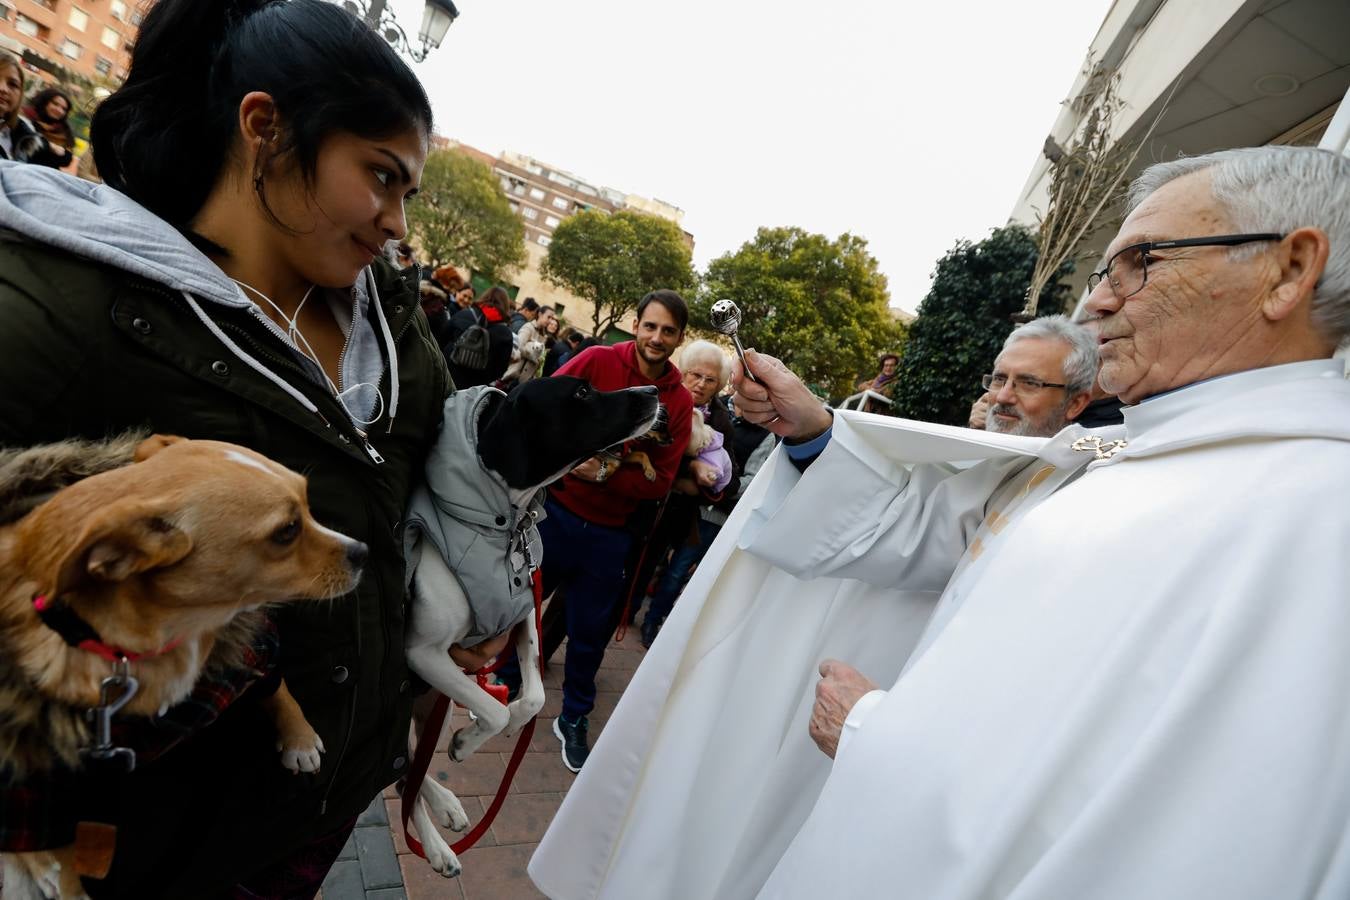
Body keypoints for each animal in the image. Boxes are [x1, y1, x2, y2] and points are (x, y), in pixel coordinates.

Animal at [0, 437, 369, 900]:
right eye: (287, 530)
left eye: (307, 501)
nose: (364, 552)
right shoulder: (37, 784)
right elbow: (52, 853)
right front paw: (59, 875)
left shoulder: (254, 650)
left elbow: (276, 685)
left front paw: (298, 738)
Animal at [399, 377, 658, 874]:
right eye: (581, 393)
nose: (655, 390)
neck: (503, 523)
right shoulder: (422, 652)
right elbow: (495, 708)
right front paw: (471, 740)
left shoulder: (523, 616)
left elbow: (533, 695)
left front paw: (490, 730)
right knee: (403, 773)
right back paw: (438, 848)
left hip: (433, 708)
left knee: (409, 772)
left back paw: (447, 806)